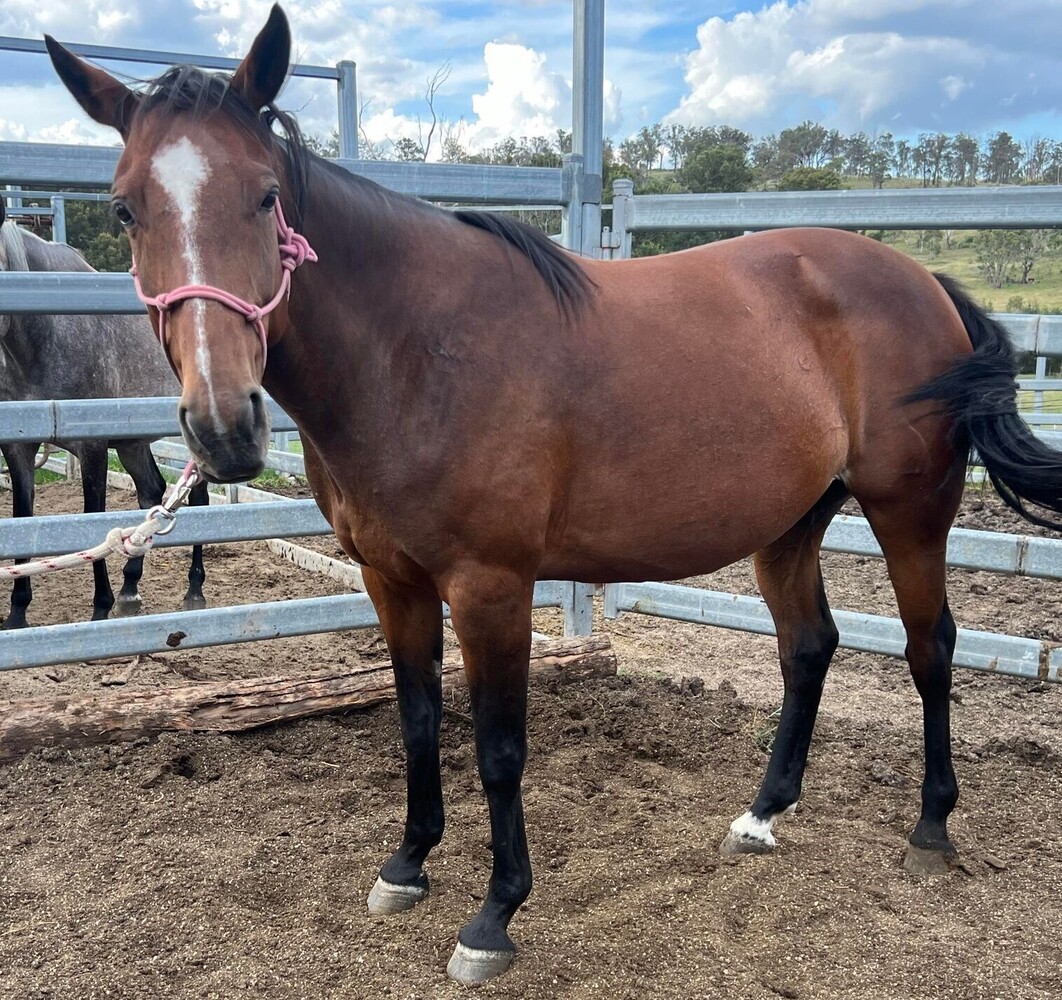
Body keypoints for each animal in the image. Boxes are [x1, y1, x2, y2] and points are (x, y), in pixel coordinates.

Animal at [0, 203, 209, 628]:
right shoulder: (18, 449)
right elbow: (23, 521)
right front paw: (17, 613)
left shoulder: (92, 446)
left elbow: (90, 518)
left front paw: (100, 605)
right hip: (131, 443)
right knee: (152, 492)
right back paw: (131, 587)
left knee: (198, 496)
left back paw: (194, 588)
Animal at [46, 6, 1062, 982]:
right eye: (125, 208)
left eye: (265, 195)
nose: (224, 426)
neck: (417, 352)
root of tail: (921, 279)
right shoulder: (392, 580)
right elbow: (418, 722)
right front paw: (407, 865)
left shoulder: (492, 585)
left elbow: (500, 748)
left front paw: (493, 917)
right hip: (791, 523)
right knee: (808, 646)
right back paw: (763, 814)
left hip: (909, 512)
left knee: (931, 650)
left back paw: (930, 829)